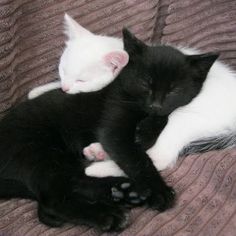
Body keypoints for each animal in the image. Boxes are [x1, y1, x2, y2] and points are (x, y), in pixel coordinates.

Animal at [0, 28, 179, 231]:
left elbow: (161, 117)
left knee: (73, 184)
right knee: (52, 201)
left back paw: (124, 192)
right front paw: (159, 190)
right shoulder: (117, 117)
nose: (156, 102)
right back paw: (108, 214)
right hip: (40, 153)